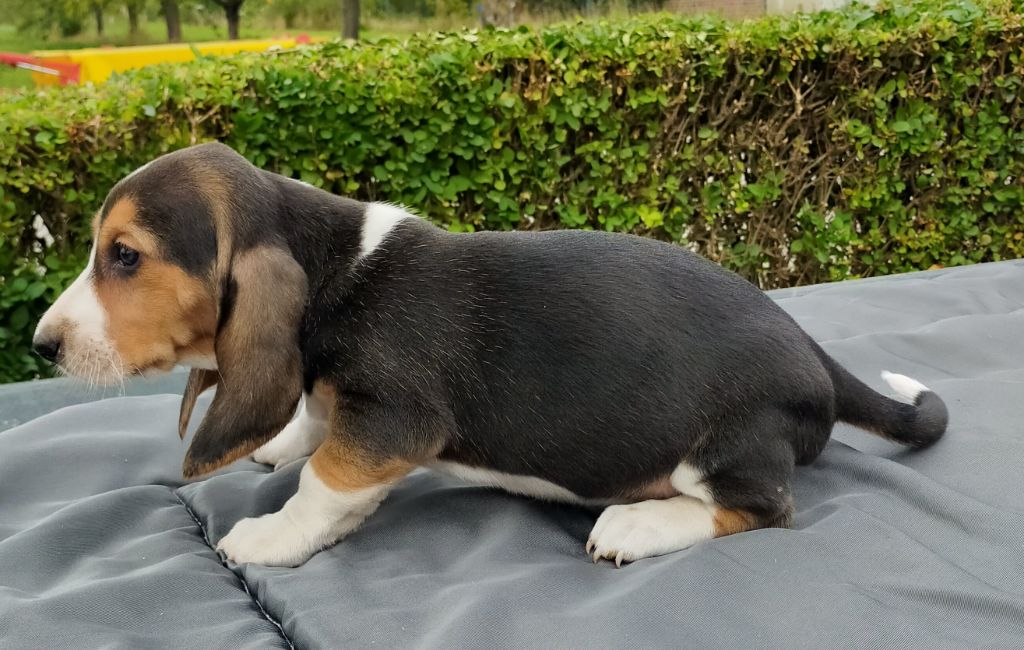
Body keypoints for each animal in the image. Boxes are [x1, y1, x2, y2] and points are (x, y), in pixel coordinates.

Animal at [33, 142, 949, 567]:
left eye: (124, 257)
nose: (42, 345)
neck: (334, 266)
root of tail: (813, 356)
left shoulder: (392, 421)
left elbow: (326, 484)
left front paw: (270, 535)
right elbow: (312, 422)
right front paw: (282, 441)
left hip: (724, 446)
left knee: (763, 508)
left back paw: (639, 523)